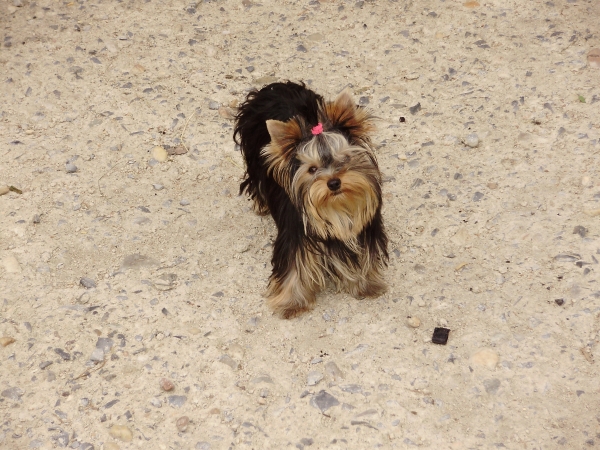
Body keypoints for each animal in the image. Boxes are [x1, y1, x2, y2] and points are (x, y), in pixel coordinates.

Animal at [234, 81, 388, 318]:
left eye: (345, 158)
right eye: (312, 169)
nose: (333, 183)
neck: (336, 207)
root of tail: (274, 87)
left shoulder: (364, 232)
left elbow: (364, 256)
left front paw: (367, 284)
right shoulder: (294, 238)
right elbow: (294, 268)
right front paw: (291, 302)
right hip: (253, 155)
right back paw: (261, 205)